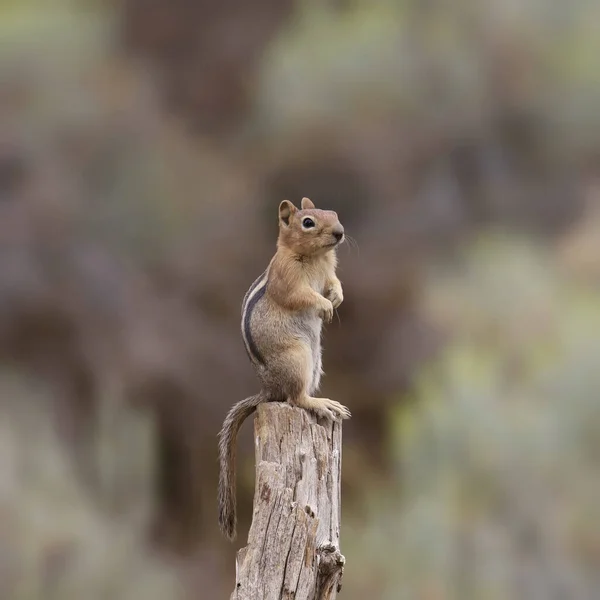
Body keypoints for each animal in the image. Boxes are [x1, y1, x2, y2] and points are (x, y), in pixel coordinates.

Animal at [218, 197, 352, 540]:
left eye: (334, 214)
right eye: (307, 222)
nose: (339, 232)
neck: (315, 257)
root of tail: (268, 389)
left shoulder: (329, 273)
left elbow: (333, 283)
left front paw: (336, 297)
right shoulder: (288, 279)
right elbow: (301, 296)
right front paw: (325, 305)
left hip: (315, 361)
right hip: (298, 359)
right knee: (295, 398)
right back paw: (321, 404)